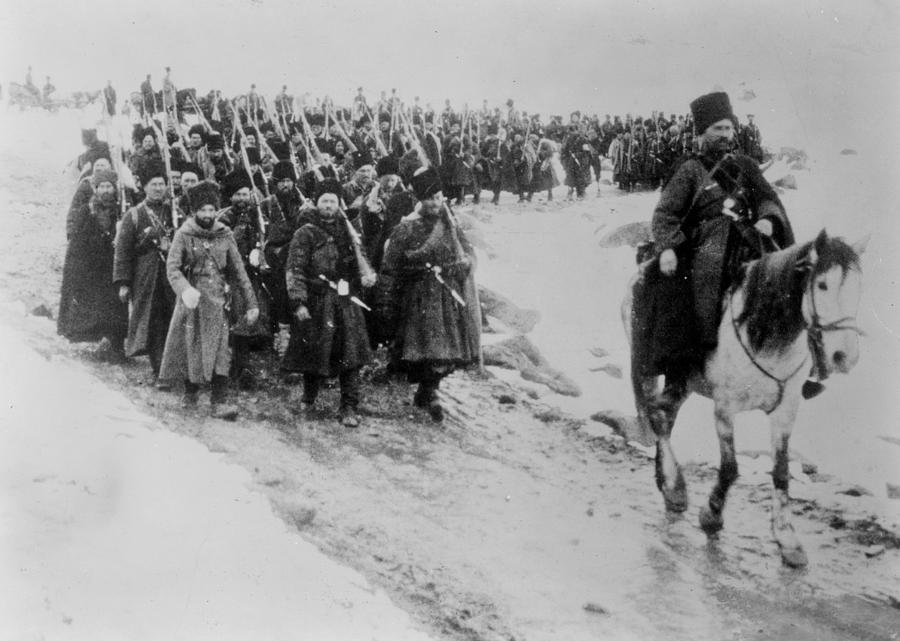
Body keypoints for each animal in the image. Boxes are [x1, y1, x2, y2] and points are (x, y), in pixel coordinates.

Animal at [624, 230, 864, 564]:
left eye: (858, 289)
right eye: (822, 285)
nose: (845, 357)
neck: (766, 335)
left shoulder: (785, 412)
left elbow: (781, 472)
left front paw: (787, 539)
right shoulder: (725, 409)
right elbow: (730, 468)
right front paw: (711, 514)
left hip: (682, 383)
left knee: (664, 417)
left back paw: (667, 484)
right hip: (648, 369)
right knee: (656, 415)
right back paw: (675, 486)